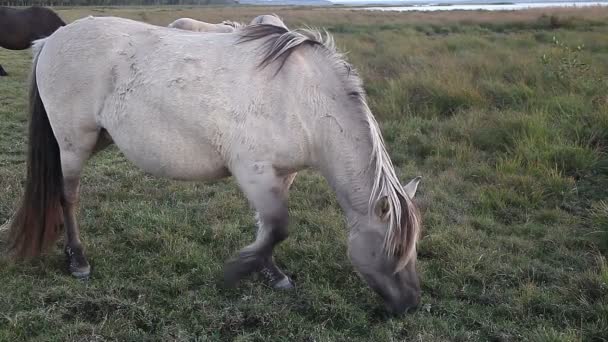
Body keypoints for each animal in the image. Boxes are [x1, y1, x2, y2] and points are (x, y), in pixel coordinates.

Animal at [5, 17, 422, 314]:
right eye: (393, 250)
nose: (410, 305)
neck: (304, 96)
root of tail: (52, 38)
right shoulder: (253, 171)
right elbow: (277, 227)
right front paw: (240, 269)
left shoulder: (281, 174)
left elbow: (268, 227)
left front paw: (270, 273)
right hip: (73, 144)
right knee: (67, 196)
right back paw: (77, 259)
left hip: (96, 139)